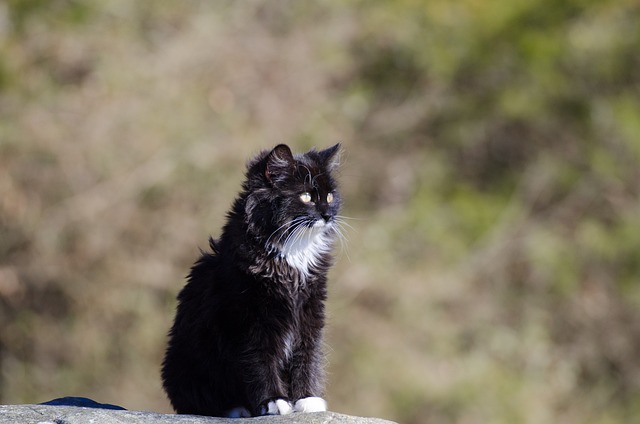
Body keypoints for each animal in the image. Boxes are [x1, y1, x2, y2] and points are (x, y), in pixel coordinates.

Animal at [162, 144, 342, 416]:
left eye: (330, 197)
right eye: (306, 196)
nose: (327, 214)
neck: (291, 257)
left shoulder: (310, 313)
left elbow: (307, 357)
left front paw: (307, 399)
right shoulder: (249, 321)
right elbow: (260, 363)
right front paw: (274, 402)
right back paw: (238, 409)